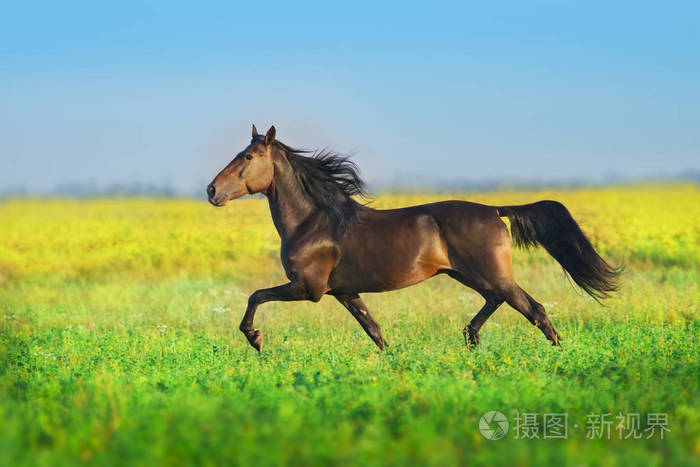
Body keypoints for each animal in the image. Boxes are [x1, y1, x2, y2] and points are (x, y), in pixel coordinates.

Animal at [207, 125, 621, 352]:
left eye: (248, 157)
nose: (212, 191)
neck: (314, 222)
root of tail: (494, 210)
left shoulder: (308, 288)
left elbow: (255, 296)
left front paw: (256, 339)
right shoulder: (345, 292)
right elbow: (373, 330)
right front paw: (393, 360)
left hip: (490, 273)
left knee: (533, 309)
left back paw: (559, 355)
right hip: (469, 275)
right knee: (497, 301)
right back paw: (470, 339)